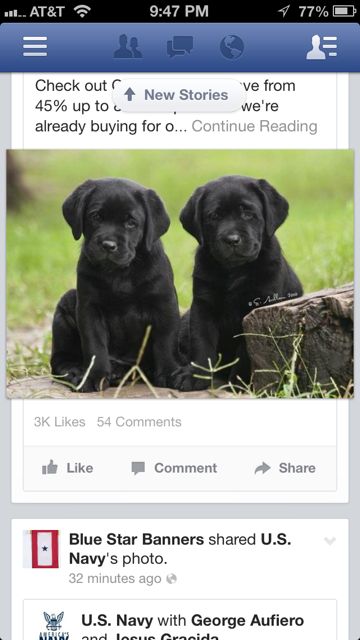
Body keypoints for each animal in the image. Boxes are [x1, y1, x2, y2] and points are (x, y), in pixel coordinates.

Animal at [50, 178, 180, 392]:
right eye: (96, 216)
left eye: (131, 223)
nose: (108, 245)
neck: (120, 273)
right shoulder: (89, 308)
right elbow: (95, 347)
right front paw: (95, 376)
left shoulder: (164, 304)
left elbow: (166, 341)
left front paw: (170, 373)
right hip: (66, 305)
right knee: (59, 360)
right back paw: (77, 371)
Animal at [174, 175, 300, 390]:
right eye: (214, 216)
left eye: (248, 214)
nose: (232, 239)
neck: (234, 271)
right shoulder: (202, 306)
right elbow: (201, 342)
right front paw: (195, 376)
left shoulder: (256, 309)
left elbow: (245, 351)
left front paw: (238, 383)